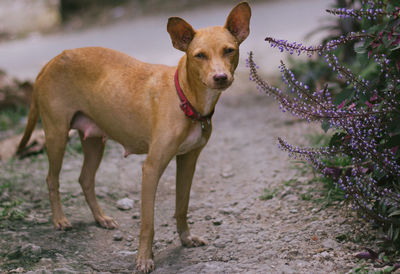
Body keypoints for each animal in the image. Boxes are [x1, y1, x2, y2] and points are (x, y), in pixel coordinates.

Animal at [18, 2, 252, 272]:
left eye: (229, 50)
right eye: (199, 55)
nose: (220, 78)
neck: (185, 98)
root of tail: (51, 61)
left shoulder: (188, 161)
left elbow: (181, 206)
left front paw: (185, 238)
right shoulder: (151, 168)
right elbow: (147, 224)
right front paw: (144, 259)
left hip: (93, 142)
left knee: (85, 179)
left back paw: (100, 218)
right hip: (56, 134)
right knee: (51, 179)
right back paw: (59, 220)